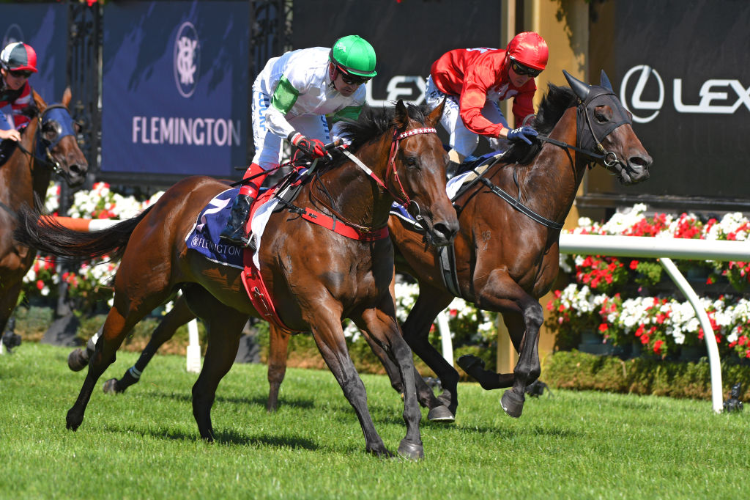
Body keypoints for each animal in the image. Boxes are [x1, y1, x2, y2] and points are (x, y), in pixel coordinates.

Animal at [17, 101, 462, 460]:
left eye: (443, 159)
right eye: (410, 160)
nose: (446, 226)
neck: (342, 218)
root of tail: (163, 202)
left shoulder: (371, 307)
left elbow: (404, 359)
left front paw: (413, 437)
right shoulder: (321, 312)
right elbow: (351, 380)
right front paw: (377, 444)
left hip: (225, 319)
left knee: (202, 386)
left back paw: (211, 439)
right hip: (136, 293)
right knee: (104, 354)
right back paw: (75, 413)